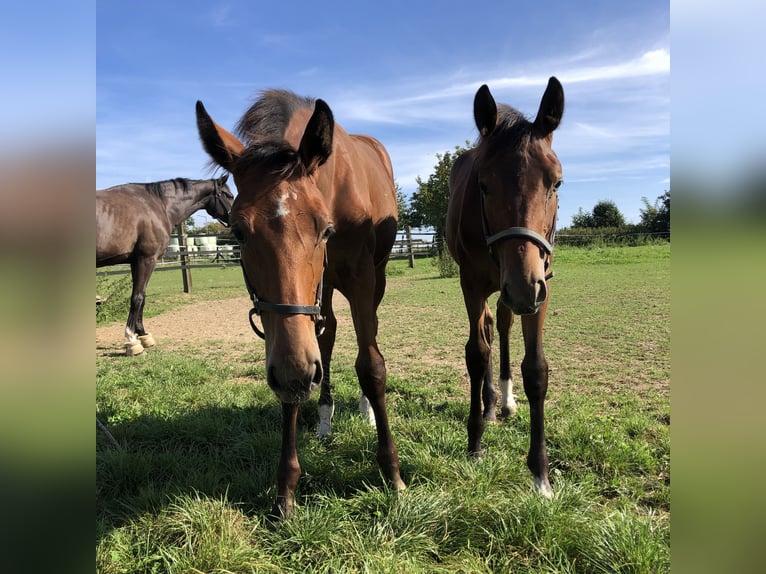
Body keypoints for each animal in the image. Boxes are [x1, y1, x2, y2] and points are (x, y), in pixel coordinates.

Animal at [96, 176, 234, 356]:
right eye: (228, 195)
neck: (156, 204)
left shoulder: (136, 261)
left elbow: (142, 296)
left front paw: (143, 335)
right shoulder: (147, 259)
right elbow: (137, 297)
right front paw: (132, 340)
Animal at [195, 90, 404, 520]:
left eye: (325, 229)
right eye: (238, 232)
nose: (296, 374)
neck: (333, 187)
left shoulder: (362, 277)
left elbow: (371, 364)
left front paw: (392, 473)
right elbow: (298, 374)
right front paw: (286, 490)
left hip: (373, 277)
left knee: (367, 335)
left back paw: (365, 409)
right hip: (324, 291)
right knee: (328, 335)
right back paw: (324, 420)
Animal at [448, 77, 568, 500]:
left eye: (556, 182)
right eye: (483, 185)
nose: (522, 288)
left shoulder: (542, 285)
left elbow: (536, 369)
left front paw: (541, 474)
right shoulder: (471, 283)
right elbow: (476, 353)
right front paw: (475, 441)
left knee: (501, 324)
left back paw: (505, 399)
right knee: (486, 329)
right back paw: (487, 405)